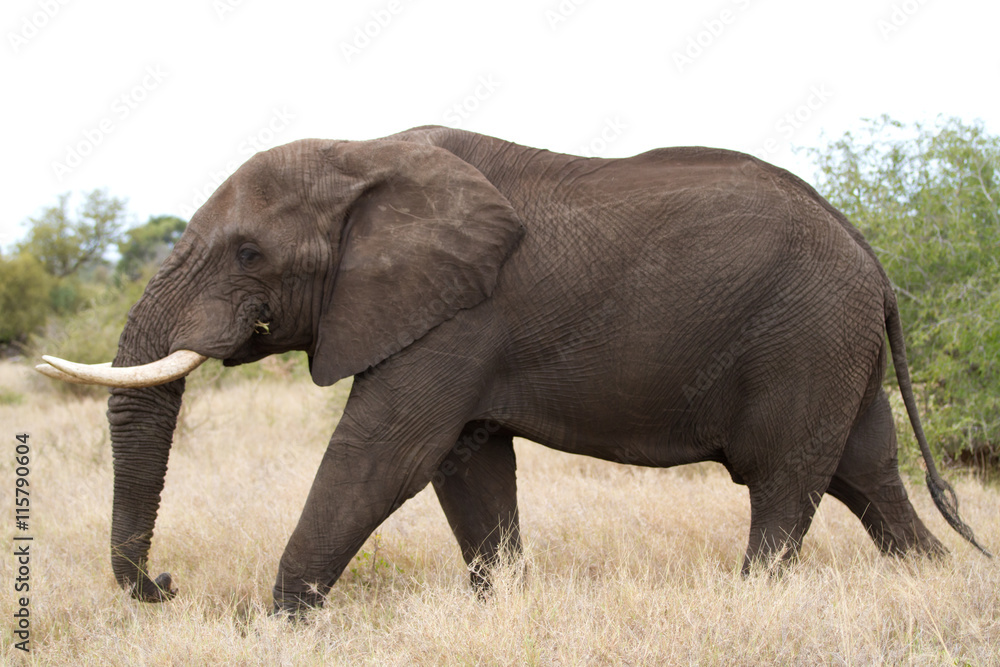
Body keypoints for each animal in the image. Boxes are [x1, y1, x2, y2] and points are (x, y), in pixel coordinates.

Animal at [38, 125, 990, 613]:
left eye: (248, 253)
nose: (163, 583)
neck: (362, 151)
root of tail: (872, 258)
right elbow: (467, 466)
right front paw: (502, 604)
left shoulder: (459, 315)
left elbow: (385, 454)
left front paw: (280, 621)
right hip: (837, 339)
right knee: (867, 474)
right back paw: (938, 575)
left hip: (806, 335)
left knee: (786, 482)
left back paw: (754, 603)